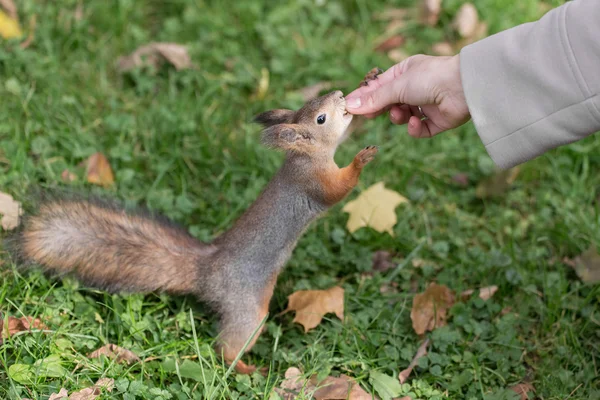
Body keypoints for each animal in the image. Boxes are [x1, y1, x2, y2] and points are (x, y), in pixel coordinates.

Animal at [12, 88, 380, 376]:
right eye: (320, 118)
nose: (340, 95)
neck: (303, 158)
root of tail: (206, 271)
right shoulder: (315, 184)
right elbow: (338, 190)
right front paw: (361, 159)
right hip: (248, 309)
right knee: (225, 348)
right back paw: (246, 368)